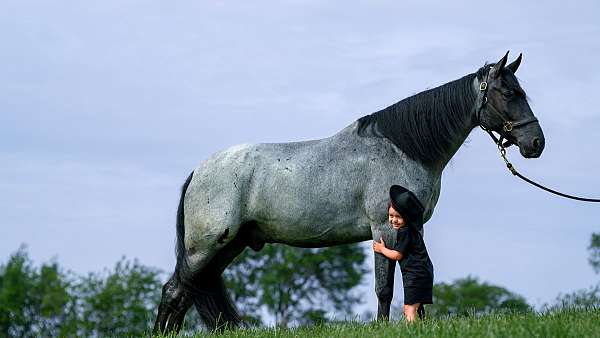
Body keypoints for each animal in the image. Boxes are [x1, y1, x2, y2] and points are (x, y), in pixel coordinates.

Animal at [154, 51, 544, 334]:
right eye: (508, 93)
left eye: (521, 92)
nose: (536, 143)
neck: (402, 147)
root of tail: (199, 171)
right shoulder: (384, 227)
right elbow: (384, 287)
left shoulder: (410, 227)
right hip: (205, 247)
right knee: (174, 292)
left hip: (226, 247)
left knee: (187, 293)